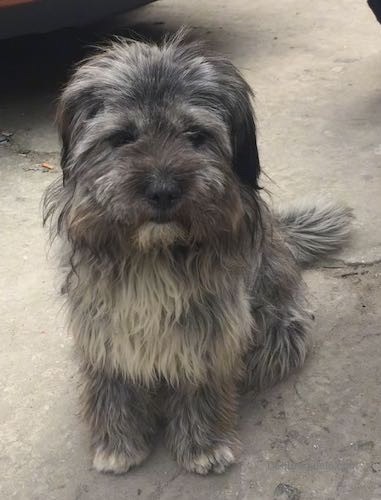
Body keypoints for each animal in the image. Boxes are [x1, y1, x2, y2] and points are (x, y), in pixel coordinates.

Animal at [43, 32, 350, 476]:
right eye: (123, 137)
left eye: (195, 135)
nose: (162, 191)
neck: (154, 253)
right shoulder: (104, 323)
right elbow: (113, 381)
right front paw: (118, 443)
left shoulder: (210, 326)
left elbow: (200, 379)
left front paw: (202, 444)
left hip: (277, 336)